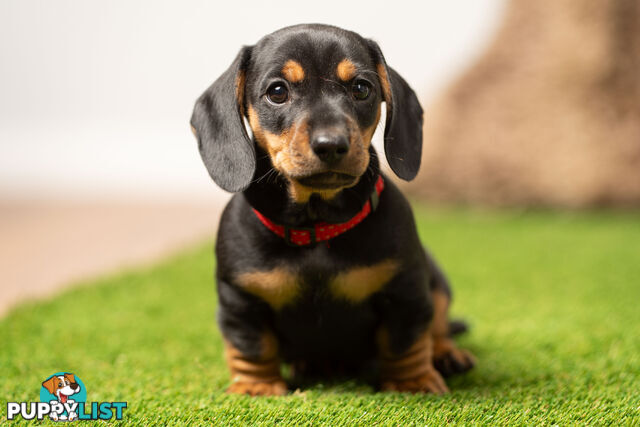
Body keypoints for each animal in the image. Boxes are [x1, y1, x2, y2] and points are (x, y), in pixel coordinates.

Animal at [190, 24, 476, 398]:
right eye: (277, 91)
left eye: (361, 88)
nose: (331, 145)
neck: (317, 224)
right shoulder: (241, 300)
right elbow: (252, 347)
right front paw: (256, 387)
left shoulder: (406, 289)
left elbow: (405, 341)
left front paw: (412, 382)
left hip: (436, 280)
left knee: (438, 324)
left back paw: (447, 354)